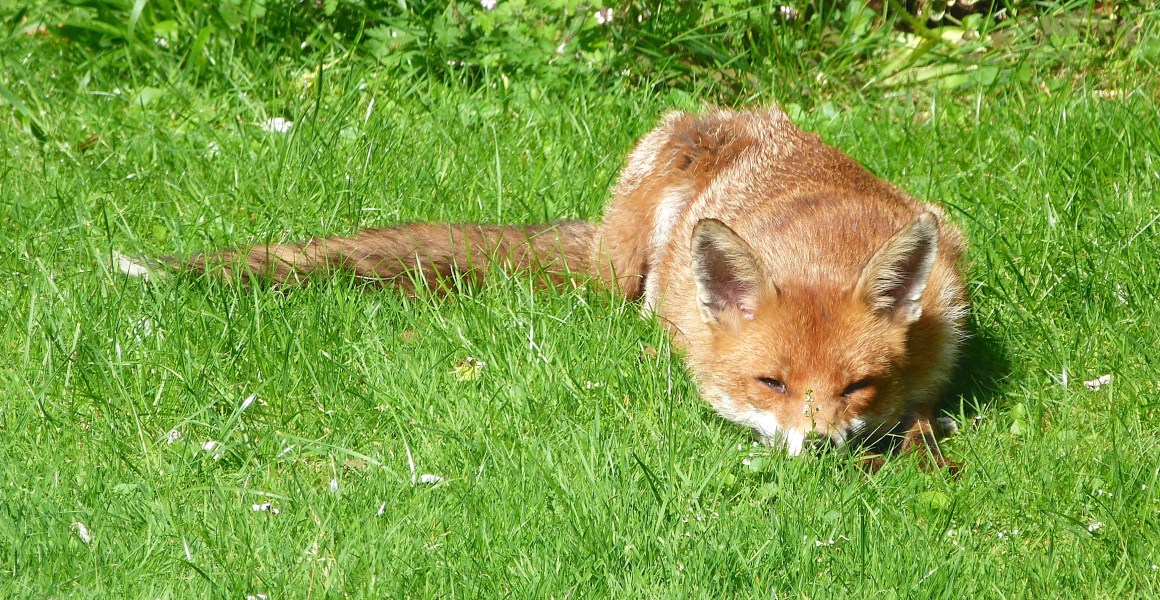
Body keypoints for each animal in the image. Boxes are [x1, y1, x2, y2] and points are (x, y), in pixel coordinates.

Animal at [118, 107, 968, 470]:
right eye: (772, 382)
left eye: (858, 385)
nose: (818, 448)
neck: (821, 239)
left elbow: (923, 419)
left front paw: (920, 452)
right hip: (629, 260)